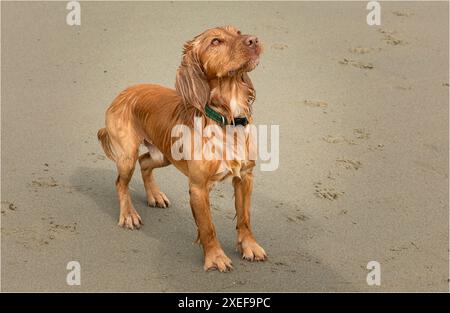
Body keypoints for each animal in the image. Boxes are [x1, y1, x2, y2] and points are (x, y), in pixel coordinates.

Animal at [97, 26, 266, 270]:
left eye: (238, 32)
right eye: (215, 41)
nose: (254, 40)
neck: (225, 118)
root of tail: (123, 92)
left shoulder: (245, 176)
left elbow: (245, 217)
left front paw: (249, 246)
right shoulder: (198, 187)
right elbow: (208, 227)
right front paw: (215, 257)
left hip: (165, 154)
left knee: (145, 162)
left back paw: (155, 195)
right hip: (127, 156)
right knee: (121, 182)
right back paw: (128, 214)